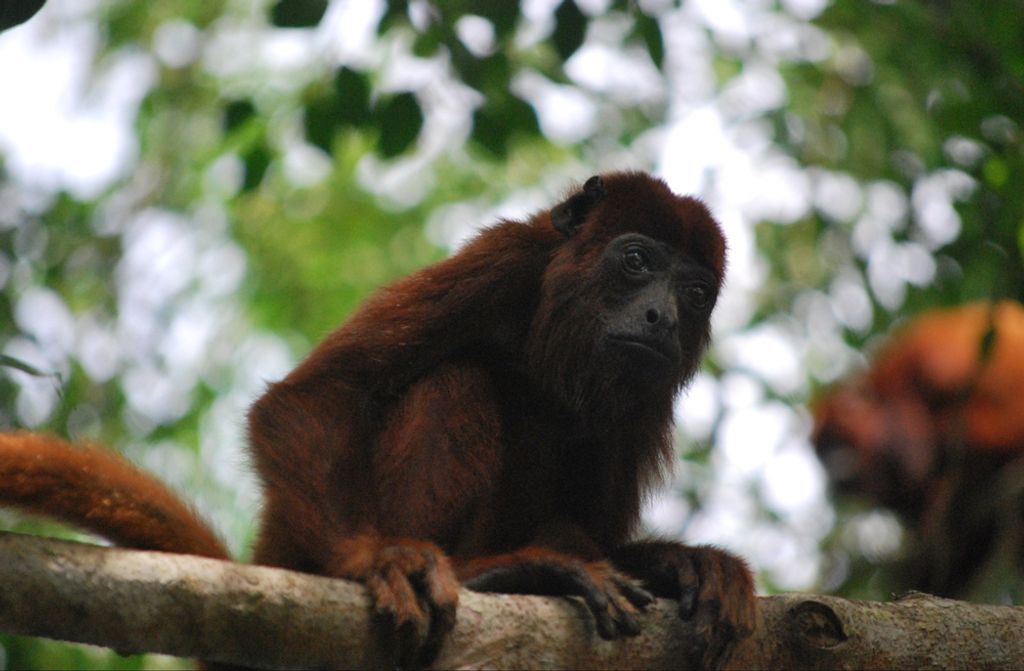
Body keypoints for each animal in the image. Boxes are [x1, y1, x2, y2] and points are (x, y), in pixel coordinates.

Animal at [1, 172, 756, 668]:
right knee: (456, 382)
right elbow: (317, 393)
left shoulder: (647, 391)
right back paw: (497, 574)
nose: (661, 318)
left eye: (693, 294)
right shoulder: (502, 264)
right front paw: (374, 560)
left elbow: (600, 529)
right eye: (636, 260)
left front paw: (684, 563)